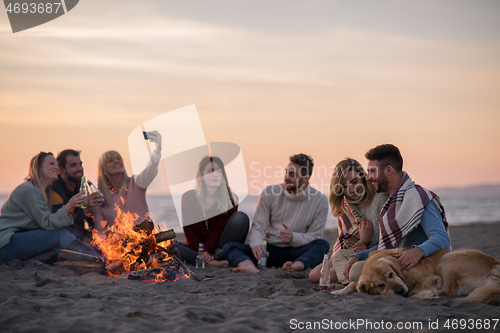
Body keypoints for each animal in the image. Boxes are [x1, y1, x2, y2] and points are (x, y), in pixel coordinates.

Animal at [332, 246, 500, 304]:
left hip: (449, 259)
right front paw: (340, 291)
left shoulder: (430, 277)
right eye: (380, 285)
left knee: (449, 291)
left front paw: (425, 292)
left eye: (391, 274)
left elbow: (415, 289)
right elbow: (354, 283)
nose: (399, 290)